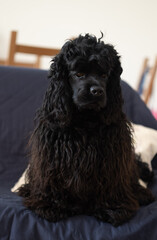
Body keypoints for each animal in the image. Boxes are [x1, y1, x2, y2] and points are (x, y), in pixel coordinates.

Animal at [18, 34, 155, 227]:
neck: (85, 119)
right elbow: (52, 180)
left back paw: (141, 193)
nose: (96, 91)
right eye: (79, 74)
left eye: (104, 75)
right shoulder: (54, 152)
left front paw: (113, 208)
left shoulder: (112, 154)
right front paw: (51, 205)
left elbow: (112, 181)